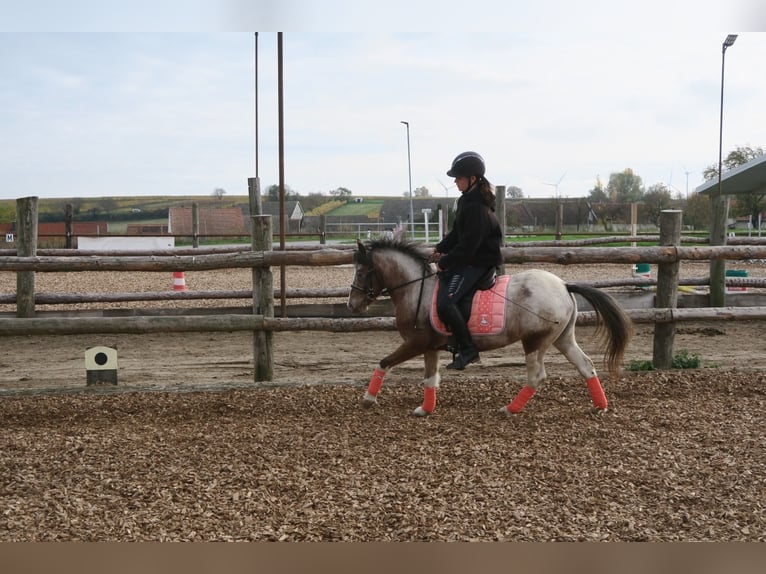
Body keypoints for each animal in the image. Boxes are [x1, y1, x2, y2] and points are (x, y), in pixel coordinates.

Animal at [350, 238, 636, 418]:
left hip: (534, 341)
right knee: (585, 365)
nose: (352, 305)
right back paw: (600, 406)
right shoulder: (430, 347)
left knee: (537, 376)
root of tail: (564, 286)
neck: (416, 288)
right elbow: (430, 378)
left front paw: (368, 399)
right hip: (562, 338)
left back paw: (510, 410)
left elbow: (384, 363)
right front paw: (425, 409)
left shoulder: (415, 343)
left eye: (362, 272)